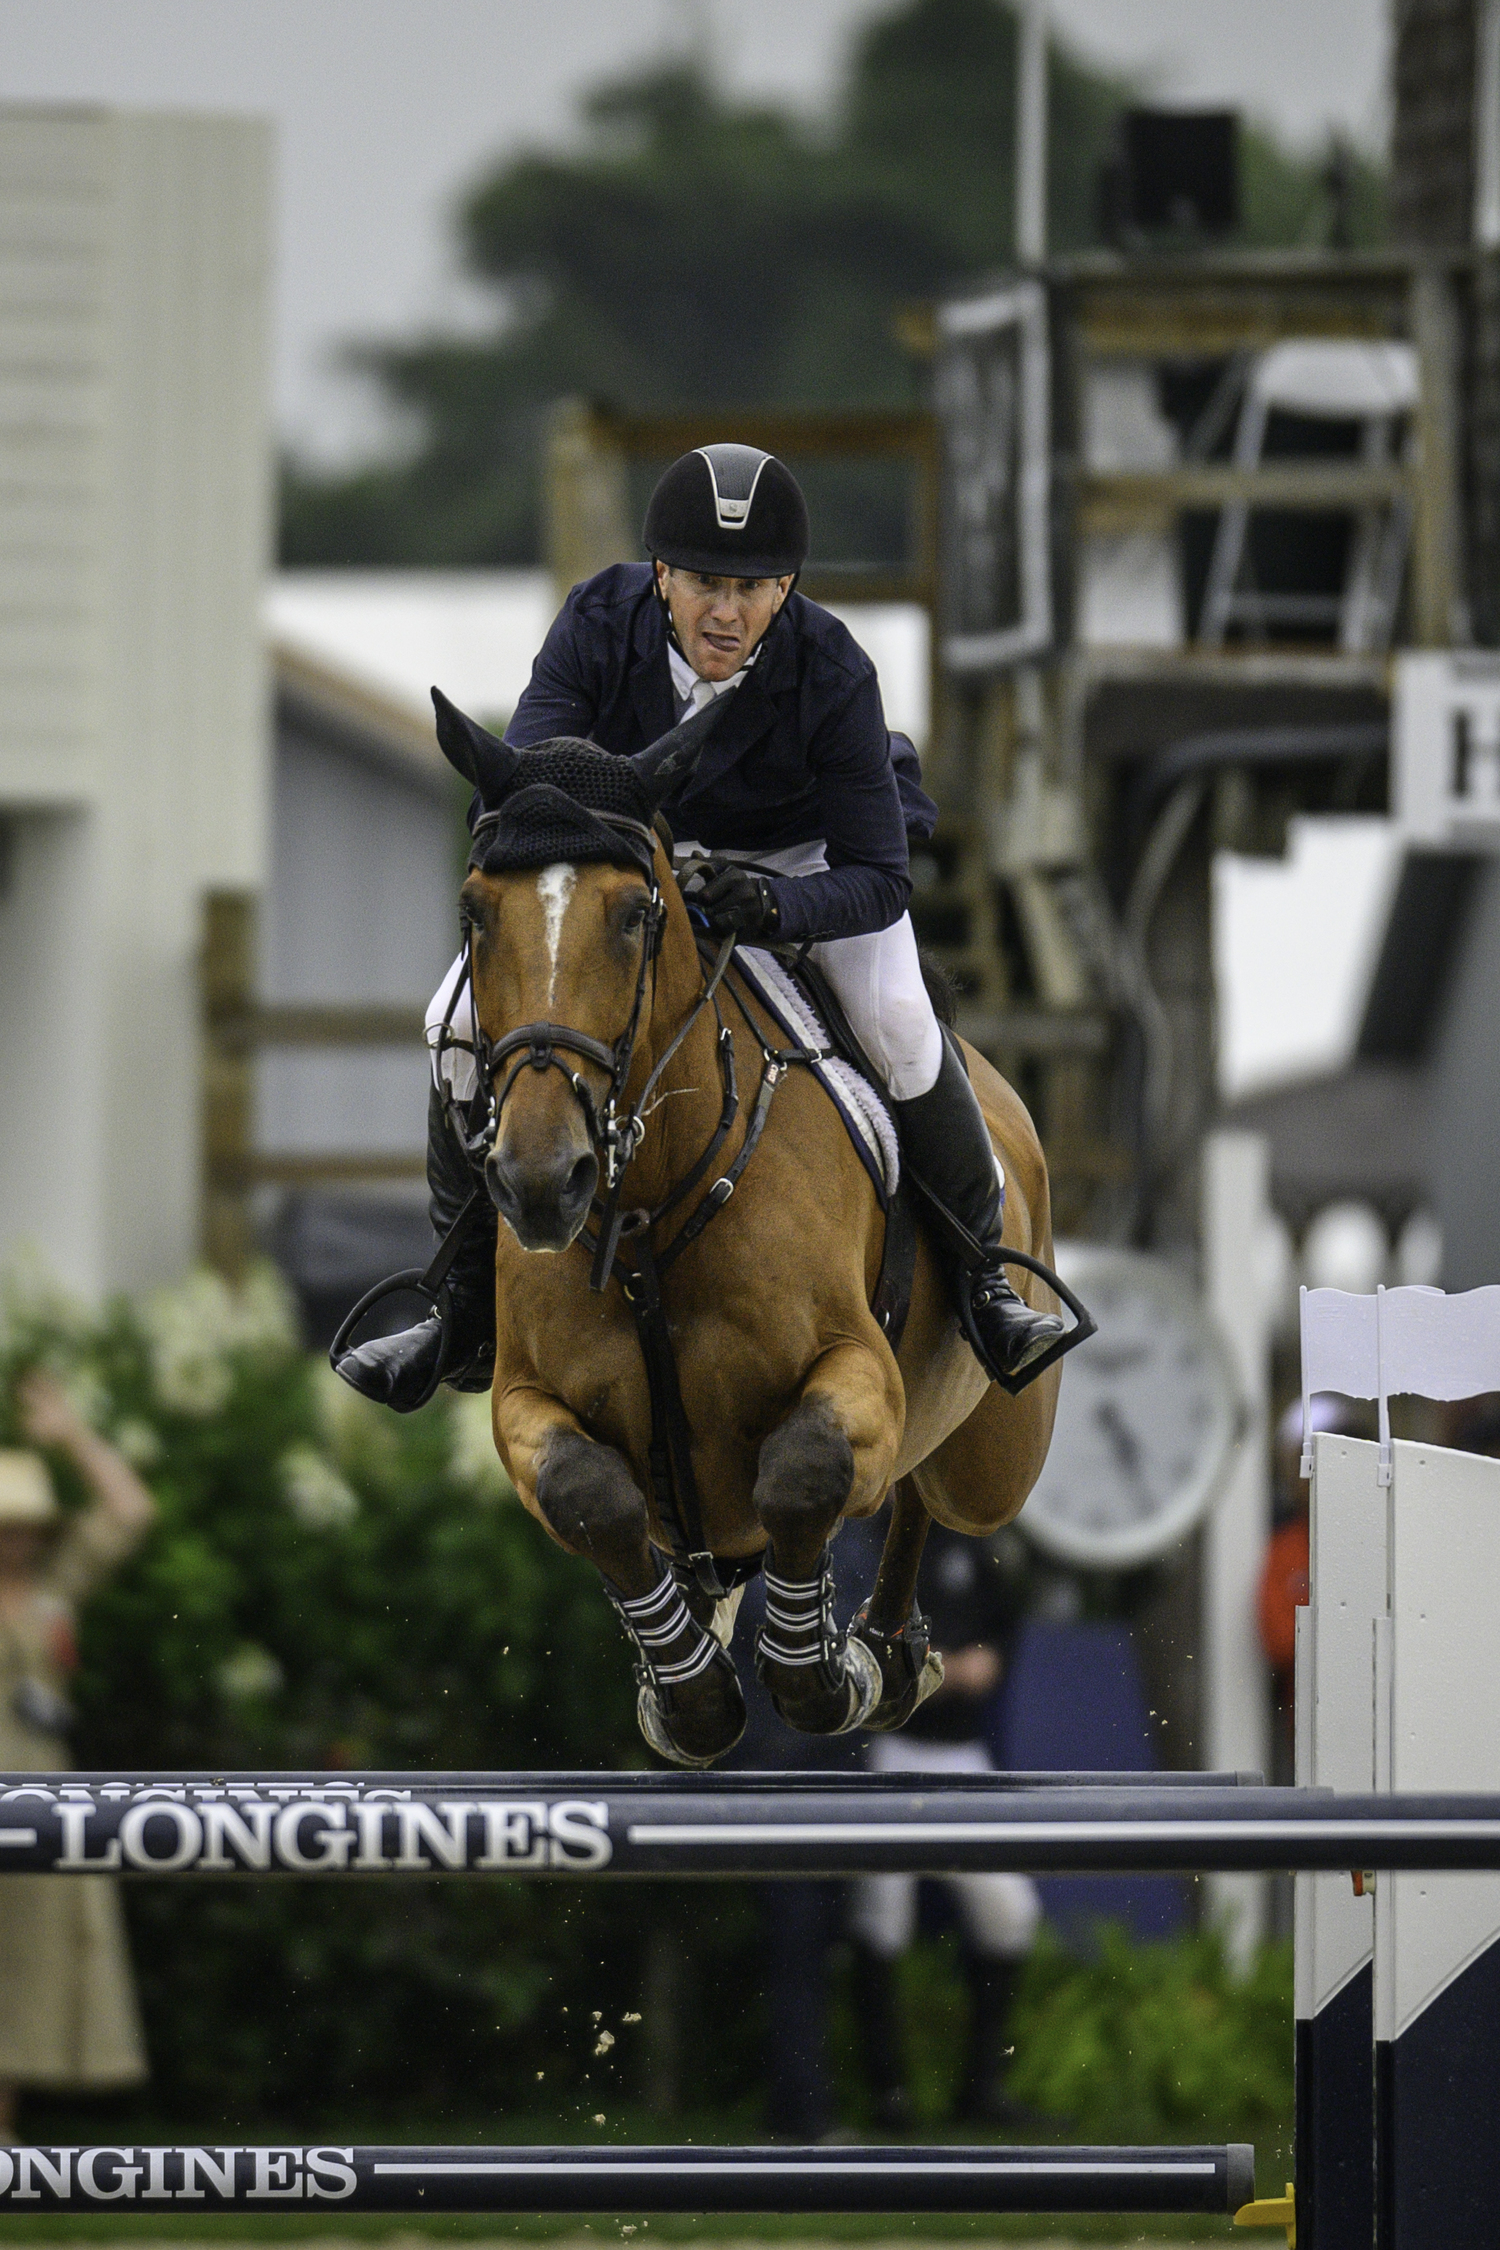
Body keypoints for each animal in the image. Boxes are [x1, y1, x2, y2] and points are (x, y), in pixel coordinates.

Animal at [436, 693, 1065, 1764]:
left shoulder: (857, 1373)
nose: (539, 1183)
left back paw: (887, 1659)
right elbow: (589, 1496)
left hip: (994, 1463)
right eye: (477, 913)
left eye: (636, 915)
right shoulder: (524, 1402)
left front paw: (822, 1678)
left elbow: (806, 1475)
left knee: (928, 1487)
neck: (647, 1215)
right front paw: (686, 1694)